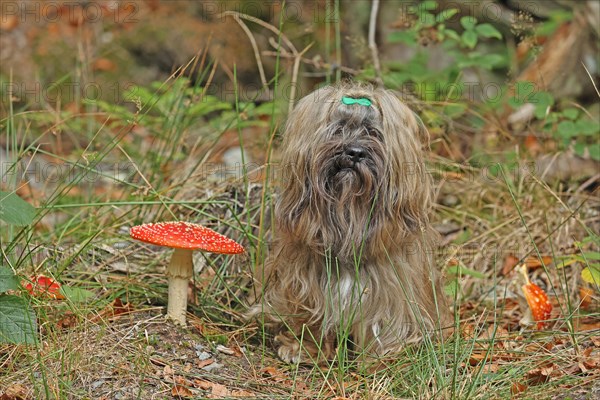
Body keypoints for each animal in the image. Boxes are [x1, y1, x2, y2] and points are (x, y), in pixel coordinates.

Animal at [250, 81, 450, 362]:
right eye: (338, 129)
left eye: (373, 133)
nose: (354, 152)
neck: (349, 214)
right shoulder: (305, 281)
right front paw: (303, 346)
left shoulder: (393, 285)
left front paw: (381, 358)